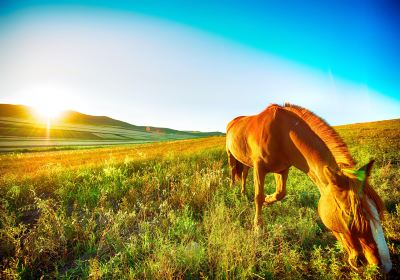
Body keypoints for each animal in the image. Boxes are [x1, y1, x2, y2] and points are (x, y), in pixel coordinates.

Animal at [227, 104, 392, 272]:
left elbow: (280, 193)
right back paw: (233, 190)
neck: (282, 133)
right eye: (349, 214)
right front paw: (258, 229)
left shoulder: (282, 169)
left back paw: (242, 193)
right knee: (234, 171)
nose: (383, 265)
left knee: (244, 173)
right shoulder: (259, 167)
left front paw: (268, 200)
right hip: (231, 156)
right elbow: (258, 197)